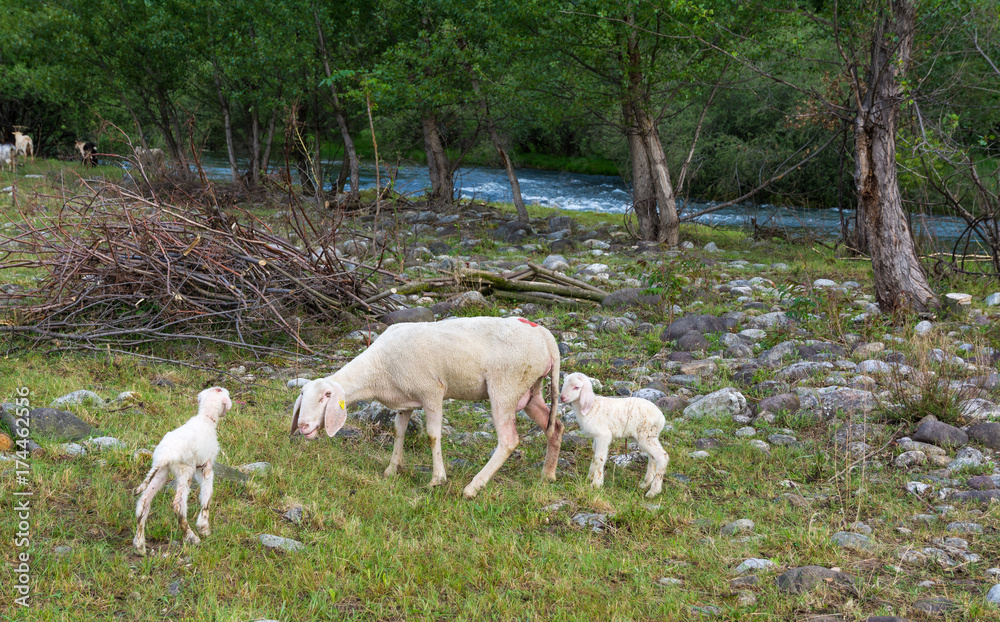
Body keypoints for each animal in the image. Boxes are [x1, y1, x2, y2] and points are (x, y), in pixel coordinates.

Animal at [133, 387, 232, 556]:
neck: (205, 418)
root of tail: (165, 455)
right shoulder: (205, 465)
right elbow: (208, 493)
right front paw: (204, 527)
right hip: (185, 470)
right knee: (178, 505)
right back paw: (191, 537)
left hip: (161, 472)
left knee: (144, 503)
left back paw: (140, 546)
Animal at [291, 316, 563, 499]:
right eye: (302, 396)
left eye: (326, 396)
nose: (302, 426)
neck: (379, 368)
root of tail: (545, 336)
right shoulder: (405, 399)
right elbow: (399, 431)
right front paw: (392, 469)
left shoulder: (432, 392)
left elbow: (433, 436)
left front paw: (437, 479)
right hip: (530, 390)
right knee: (556, 426)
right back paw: (548, 475)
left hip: (505, 386)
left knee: (508, 440)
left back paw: (473, 487)